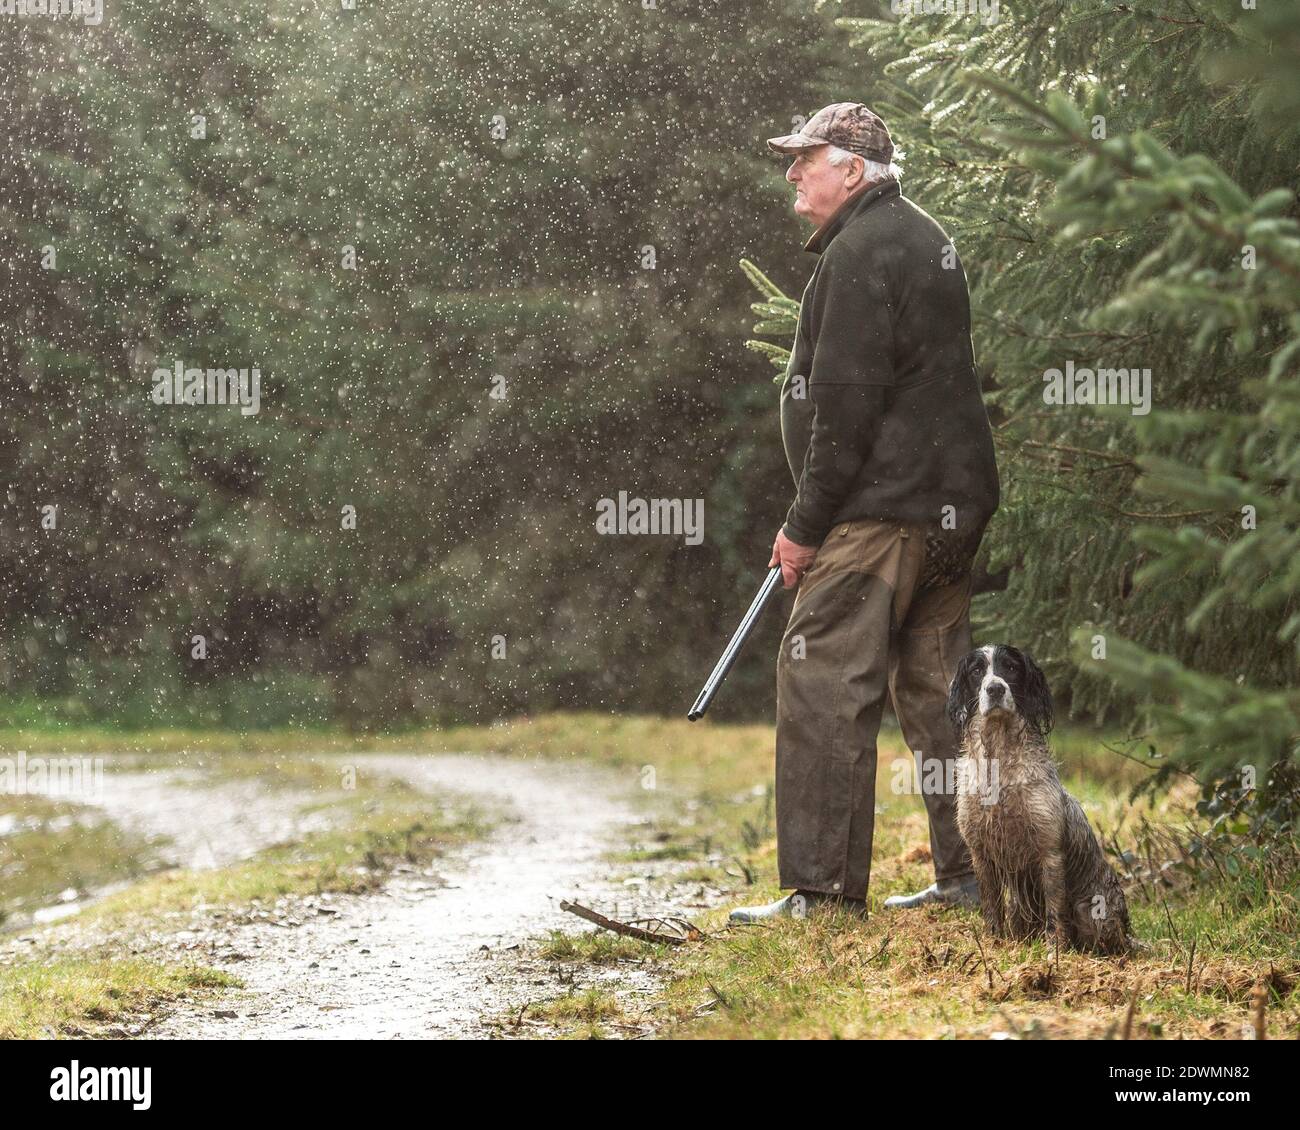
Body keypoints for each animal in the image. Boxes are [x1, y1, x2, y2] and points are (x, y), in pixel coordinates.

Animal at [946, 644, 1128, 951]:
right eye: (977, 671)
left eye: (1010, 667)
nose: (995, 689)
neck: (999, 764)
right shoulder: (980, 852)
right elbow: (992, 906)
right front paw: (993, 943)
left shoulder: (1049, 853)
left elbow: (1055, 910)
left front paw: (1054, 950)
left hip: (1090, 910)